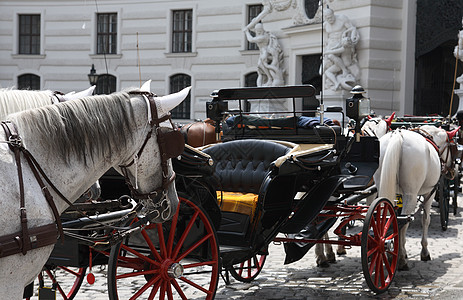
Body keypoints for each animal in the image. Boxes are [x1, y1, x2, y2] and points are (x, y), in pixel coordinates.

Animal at [374, 125, 456, 270]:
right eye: (453, 147)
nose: (452, 172)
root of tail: (398, 134)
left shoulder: (399, 195)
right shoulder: (430, 192)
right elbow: (425, 220)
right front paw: (424, 252)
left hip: (383, 187)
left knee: (387, 218)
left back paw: (389, 251)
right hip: (411, 194)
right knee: (404, 221)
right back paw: (401, 260)